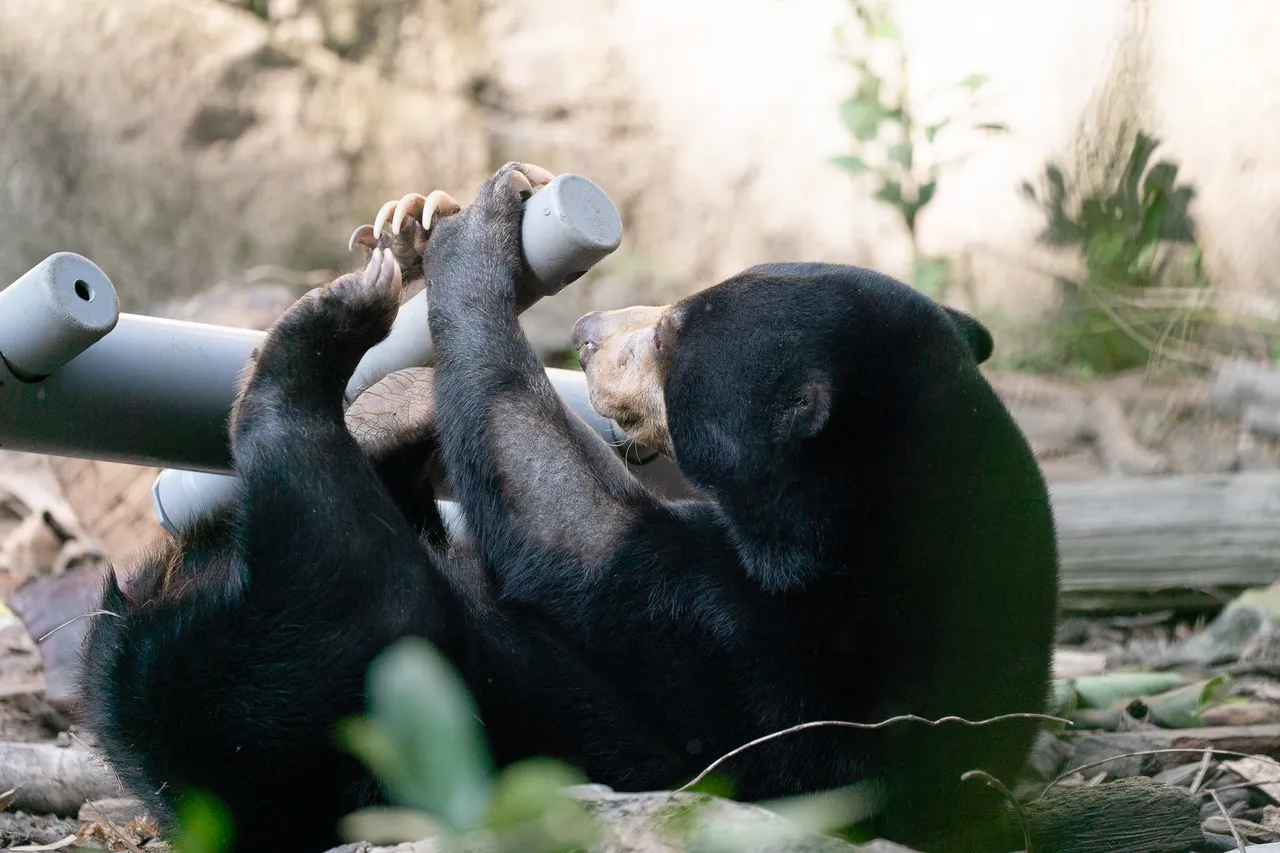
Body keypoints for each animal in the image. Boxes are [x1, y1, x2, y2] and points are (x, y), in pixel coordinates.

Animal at [77, 162, 1059, 853]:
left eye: (669, 335)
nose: (587, 334)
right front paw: (420, 235)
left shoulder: (768, 648)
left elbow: (565, 522)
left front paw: (472, 249)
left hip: (357, 690)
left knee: (337, 550)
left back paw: (324, 333)